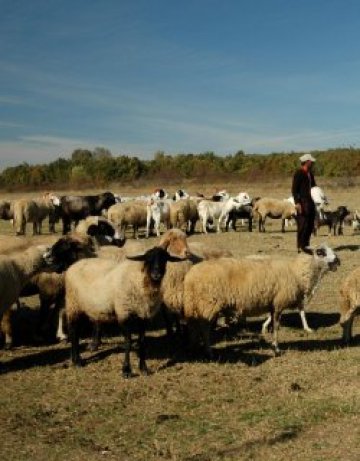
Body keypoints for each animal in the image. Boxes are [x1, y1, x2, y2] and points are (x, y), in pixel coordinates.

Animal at [64, 246, 183, 376]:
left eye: (164, 259)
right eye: (148, 259)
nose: (156, 274)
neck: (140, 280)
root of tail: (74, 265)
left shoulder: (143, 315)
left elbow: (142, 341)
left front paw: (143, 368)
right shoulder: (124, 313)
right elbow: (128, 342)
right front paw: (126, 370)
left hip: (84, 306)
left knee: (76, 331)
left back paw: (74, 359)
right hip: (73, 304)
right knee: (73, 331)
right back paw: (77, 361)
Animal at [184, 244, 338, 356]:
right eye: (320, 252)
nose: (338, 260)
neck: (295, 271)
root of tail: (190, 276)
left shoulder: (273, 303)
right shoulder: (279, 302)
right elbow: (276, 326)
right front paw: (276, 348)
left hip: (195, 303)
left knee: (193, 326)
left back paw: (193, 347)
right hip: (208, 303)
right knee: (204, 328)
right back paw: (208, 351)